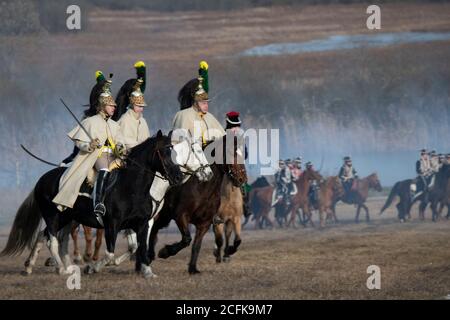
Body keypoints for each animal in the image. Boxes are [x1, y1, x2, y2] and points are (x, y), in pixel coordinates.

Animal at [0, 130, 183, 278]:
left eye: (173, 151)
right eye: (163, 152)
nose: (178, 176)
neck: (131, 188)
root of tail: (42, 179)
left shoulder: (142, 224)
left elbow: (140, 247)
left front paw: (148, 272)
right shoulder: (112, 225)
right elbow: (110, 254)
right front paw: (92, 268)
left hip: (65, 218)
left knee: (44, 236)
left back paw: (31, 267)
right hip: (52, 216)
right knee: (52, 240)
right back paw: (62, 269)